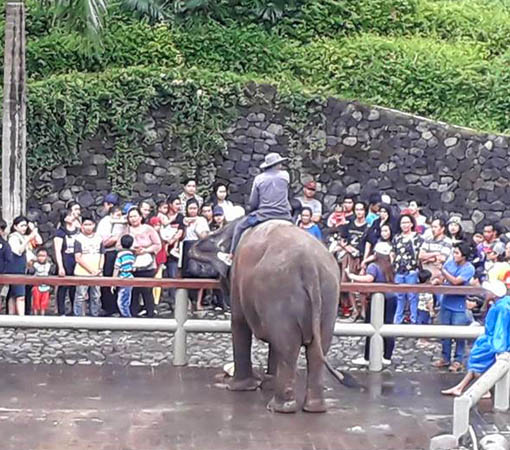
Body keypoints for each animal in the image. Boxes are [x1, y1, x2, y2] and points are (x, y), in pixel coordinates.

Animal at [189, 220, 352, 414]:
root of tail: (310, 264)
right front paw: (267, 383)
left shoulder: (237, 278)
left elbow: (239, 323)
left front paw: (238, 387)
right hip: (329, 295)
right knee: (316, 349)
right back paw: (314, 408)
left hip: (280, 291)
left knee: (288, 347)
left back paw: (278, 408)